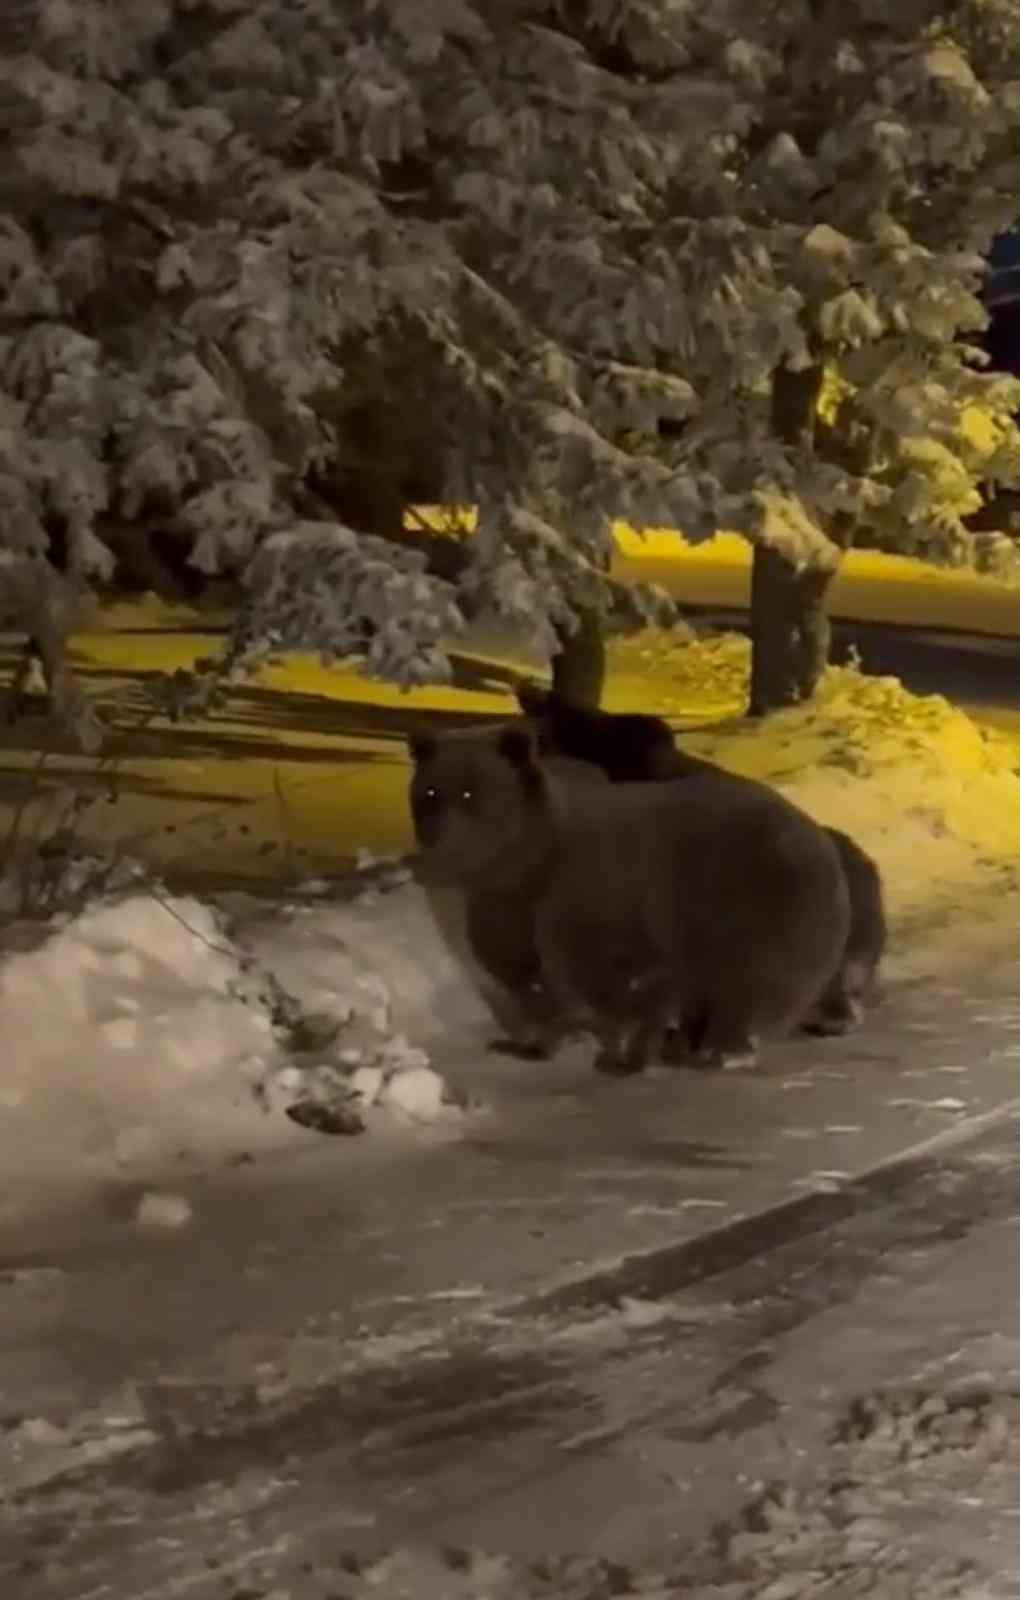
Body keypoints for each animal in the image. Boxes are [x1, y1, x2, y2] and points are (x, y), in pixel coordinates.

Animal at [407, 726, 856, 1075]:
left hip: (753, 903)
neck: (523, 866)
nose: (435, 853)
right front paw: (531, 1042)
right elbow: (523, 975)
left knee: (747, 981)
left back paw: (722, 1047)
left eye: (470, 792)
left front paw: (618, 1051)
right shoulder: (508, 912)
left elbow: (604, 982)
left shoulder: (599, 901)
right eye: (428, 791)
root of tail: (819, 838)